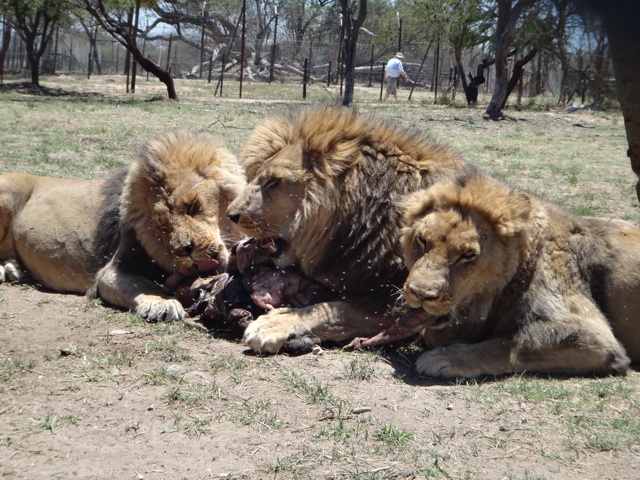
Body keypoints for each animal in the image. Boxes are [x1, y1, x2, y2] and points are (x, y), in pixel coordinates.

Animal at [0, 130, 245, 322]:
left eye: (192, 206)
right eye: (163, 226)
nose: (186, 250)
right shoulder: (110, 271)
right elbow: (142, 285)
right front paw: (162, 303)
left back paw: (15, 270)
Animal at [400, 172, 640, 378]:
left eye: (468, 255)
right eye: (422, 240)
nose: (420, 294)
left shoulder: (596, 338)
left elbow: (509, 343)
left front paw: (445, 357)